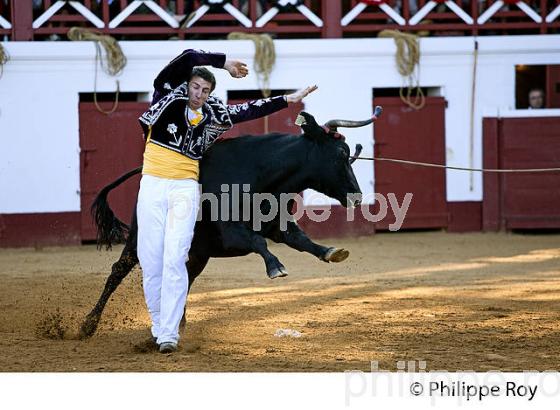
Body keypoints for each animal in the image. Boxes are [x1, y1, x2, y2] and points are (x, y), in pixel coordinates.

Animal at [77, 110, 380, 338]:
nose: (356, 196)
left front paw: (331, 251)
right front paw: (276, 267)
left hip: (197, 254)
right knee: (118, 271)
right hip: (139, 238)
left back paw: (178, 323)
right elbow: (258, 241)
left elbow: (302, 240)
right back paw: (87, 326)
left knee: (184, 277)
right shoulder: (231, 232)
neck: (263, 177)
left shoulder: (279, 225)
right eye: (340, 154)